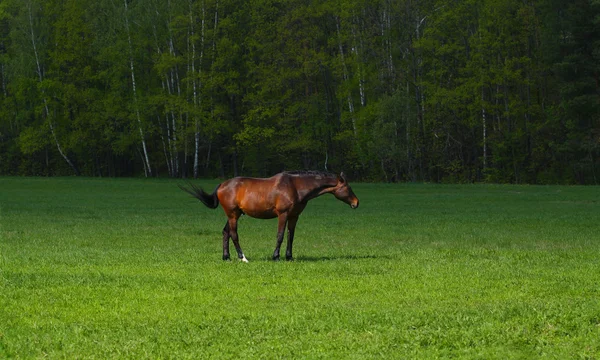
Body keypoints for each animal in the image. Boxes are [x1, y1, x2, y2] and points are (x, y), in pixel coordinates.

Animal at [180, 172, 358, 262]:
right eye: (348, 187)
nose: (356, 203)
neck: (295, 186)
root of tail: (222, 185)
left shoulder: (294, 216)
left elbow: (290, 236)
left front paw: (289, 257)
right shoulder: (283, 214)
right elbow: (280, 235)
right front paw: (276, 256)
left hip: (234, 214)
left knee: (225, 233)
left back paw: (226, 257)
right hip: (233, 215)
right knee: (234, 234)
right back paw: (242, 257)